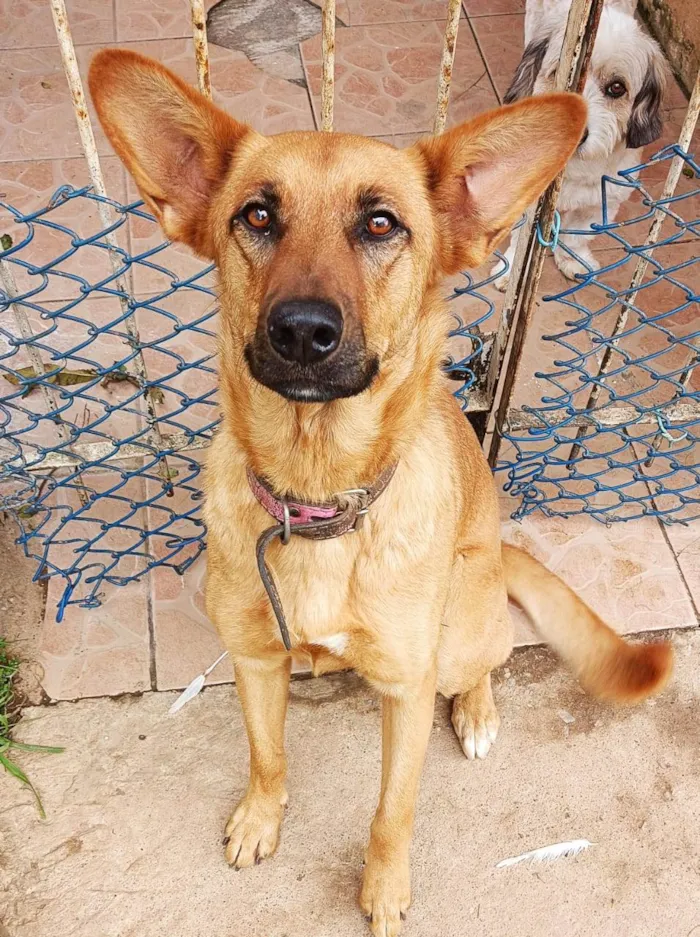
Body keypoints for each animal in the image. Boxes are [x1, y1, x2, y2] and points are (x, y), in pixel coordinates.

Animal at [89, 49, 672, 936]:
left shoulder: (406, 687)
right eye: (258, 215)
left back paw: (478, 711)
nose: (302, 330)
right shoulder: (255, 660)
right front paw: (261, 818)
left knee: (488, 658)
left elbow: (392, 810)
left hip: (461, 623)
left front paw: (386, 887)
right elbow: (267, 754)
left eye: (380, 226)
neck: (320, 494)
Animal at [492, 0, 668, 286]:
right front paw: (511, 273)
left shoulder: (602, 201)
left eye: (617, 88)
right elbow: (520, 240)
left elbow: (576, 236)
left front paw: (573, 259)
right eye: (562, 76)